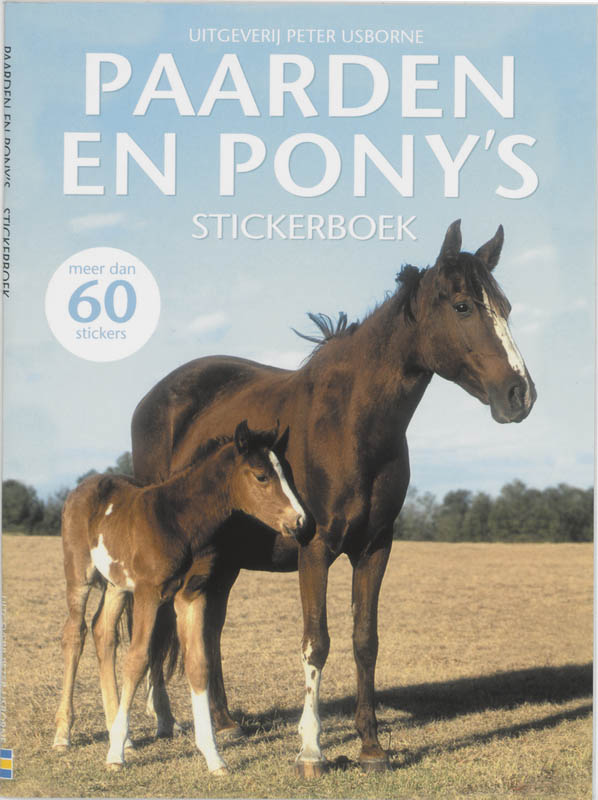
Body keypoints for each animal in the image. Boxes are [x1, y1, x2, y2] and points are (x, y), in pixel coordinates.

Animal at [53, 421, 305, 775]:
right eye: (261, 476)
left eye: (290, 474)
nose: (300, 521)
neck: (177, 521)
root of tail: (81, 488)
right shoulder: (149, 593)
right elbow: (137, 659)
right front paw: (113, 756)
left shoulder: (191, 595)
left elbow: (198, 663)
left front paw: (213, 756)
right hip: (80, 575)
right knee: (75, 634)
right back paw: (64, 735)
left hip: (117, 585)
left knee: (103, 632)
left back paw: (123, 736)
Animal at [126, 219, 536, 775]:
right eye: (463, 306)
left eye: (507, 308)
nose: (521, 395)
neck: (351, 423)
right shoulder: (315, 549)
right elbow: (315, 643)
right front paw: (311, 749)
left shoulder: (375, 549)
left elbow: (365, 641)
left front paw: (371, 747)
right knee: (156, 621)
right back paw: (160, 722)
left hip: (223, 561)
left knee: (208, 631)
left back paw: (226, 722)